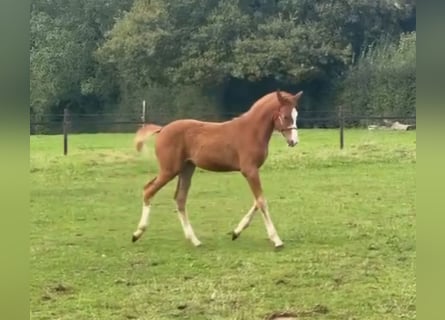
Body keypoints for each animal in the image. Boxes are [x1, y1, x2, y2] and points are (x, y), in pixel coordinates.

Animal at [131, 89, 302, 249]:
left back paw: (194, 240)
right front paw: (277, 240)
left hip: (186, 169)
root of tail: (162, 129)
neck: (251, 131)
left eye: (296, 114)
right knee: (149, 190)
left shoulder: (253, 171)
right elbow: (261, 201)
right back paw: (137, 234)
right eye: (285, 116)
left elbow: (258, 200)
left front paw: (236, 232)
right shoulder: (250, 170)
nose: (294, 142)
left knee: (179, 199)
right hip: (169, 170)